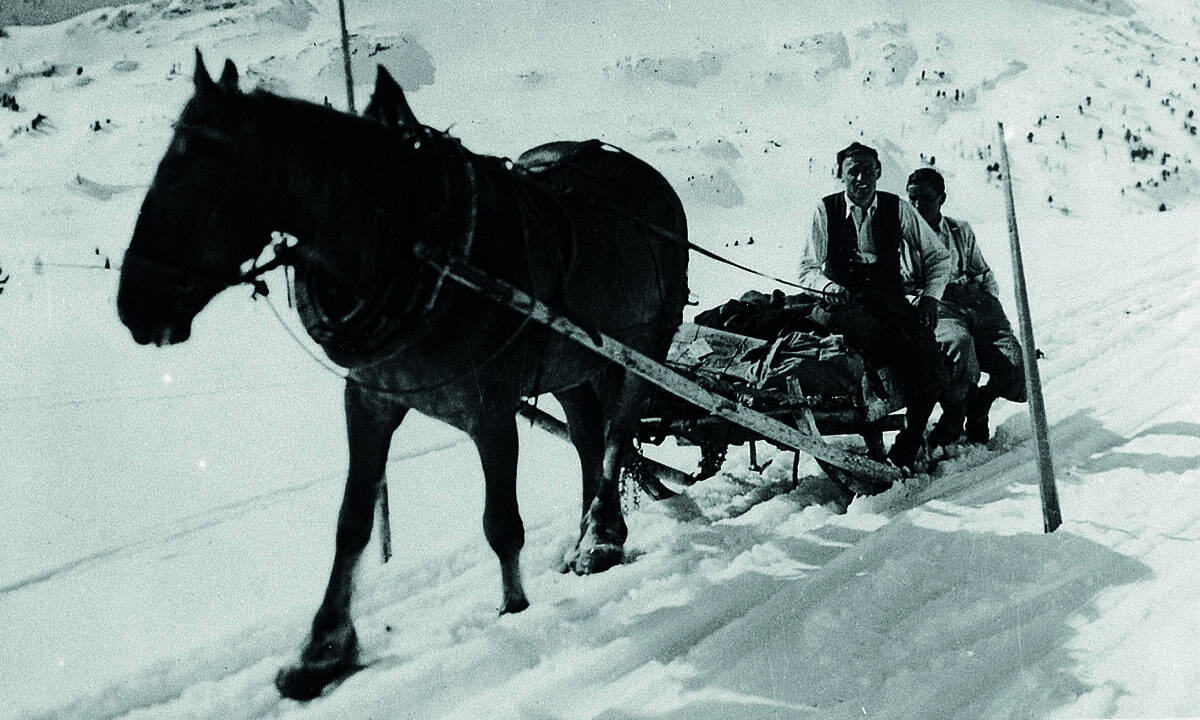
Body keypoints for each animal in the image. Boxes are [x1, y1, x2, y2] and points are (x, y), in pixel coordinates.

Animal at [117, 51, 691, 700]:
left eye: (204, 181)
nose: (135, 306)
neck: (415, 247)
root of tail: (652, 177)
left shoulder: (490, 409)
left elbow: (501, 523)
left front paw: (514, 611)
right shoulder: (369, 400)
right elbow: (352, 522)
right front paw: (322, 651)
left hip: (644, 346)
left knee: (617, 433)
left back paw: (598, 538)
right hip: (575, 364)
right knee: (590, 441)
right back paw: (599, 537)